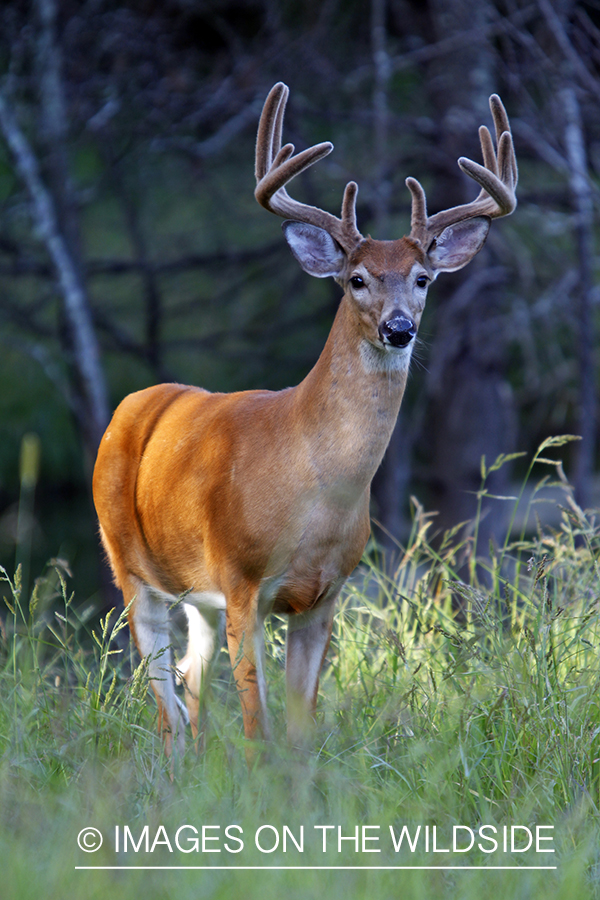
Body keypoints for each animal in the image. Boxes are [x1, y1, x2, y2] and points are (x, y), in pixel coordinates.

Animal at [92, 82, 516, 760]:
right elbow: (257, 726)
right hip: (129, 566)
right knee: (163, 699)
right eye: (357, 279)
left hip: (196, 596)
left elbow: (299, 727)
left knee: (188, 682)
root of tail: (131, 406)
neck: (315, 490)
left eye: (423, 278)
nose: (400, 328)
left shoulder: (324, 594)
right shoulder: (242, 579)